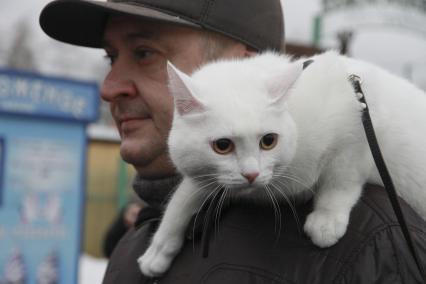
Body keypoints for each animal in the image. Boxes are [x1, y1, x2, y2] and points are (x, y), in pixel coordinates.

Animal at [137, 51, 426, 278]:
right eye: (222, 146)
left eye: (269, 141)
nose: (251, 174)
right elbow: (183, 197)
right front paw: (159, 248)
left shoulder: (358, 120)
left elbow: (341, 180)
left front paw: (327, 219)